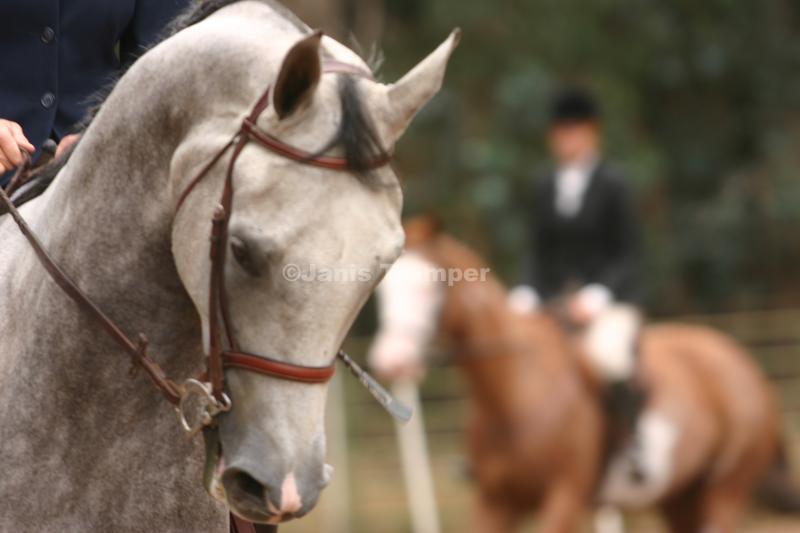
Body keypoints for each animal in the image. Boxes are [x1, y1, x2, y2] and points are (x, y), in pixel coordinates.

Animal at [368, 216, 788, 532]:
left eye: (430, 288)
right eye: (383, 290)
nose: (391, 359)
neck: (513, 394)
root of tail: (743, 363)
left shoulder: (564, 497)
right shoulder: (496, 502)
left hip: (725, 492)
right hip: (681, 498)